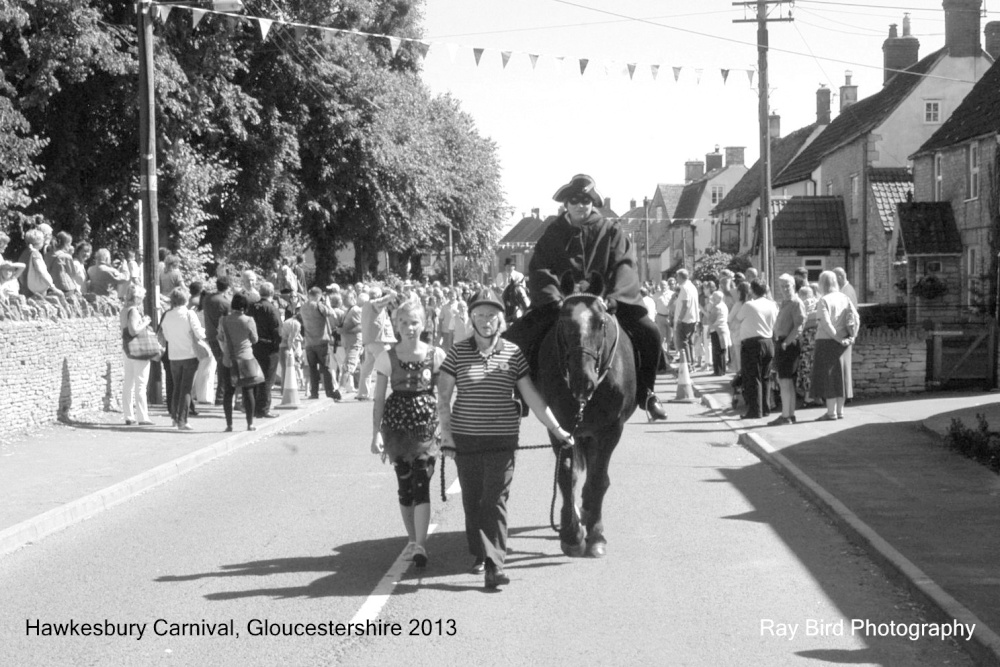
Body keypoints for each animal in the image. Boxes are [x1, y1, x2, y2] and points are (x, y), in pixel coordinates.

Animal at [536, 272, 636, 560]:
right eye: (562, 320)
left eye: (601, 322)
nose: (584, 380)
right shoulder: (558, 427)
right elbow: (566, 477)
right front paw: (572, 534)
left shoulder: (611, 430)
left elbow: (599, 479)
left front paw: (596, 534)